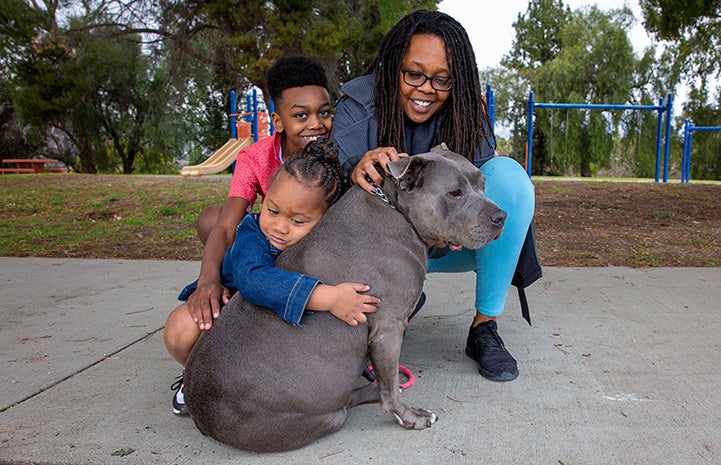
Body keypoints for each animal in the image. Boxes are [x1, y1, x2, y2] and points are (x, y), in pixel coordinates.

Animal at [183, 144, 504, 450]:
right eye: (455, 193)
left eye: (483, 184)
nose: (501, 216)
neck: (395, 208)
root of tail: (201, 416)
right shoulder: (387, 329)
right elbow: (391, 391)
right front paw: (410, 417)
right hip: (322, 417)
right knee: (344, 406)